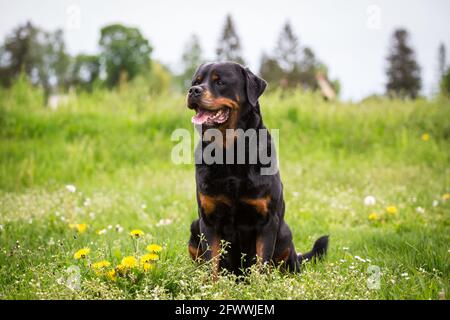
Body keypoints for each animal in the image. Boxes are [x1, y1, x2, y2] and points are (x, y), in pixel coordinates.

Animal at [186, 61, 326, 276]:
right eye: (196, 81)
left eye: (220, 82)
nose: (193, 90)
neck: (231, 154)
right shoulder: (208, 220)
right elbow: (212, 265)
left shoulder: (267, 221)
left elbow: (262, 263)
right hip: (195, 227)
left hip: (285, 233)